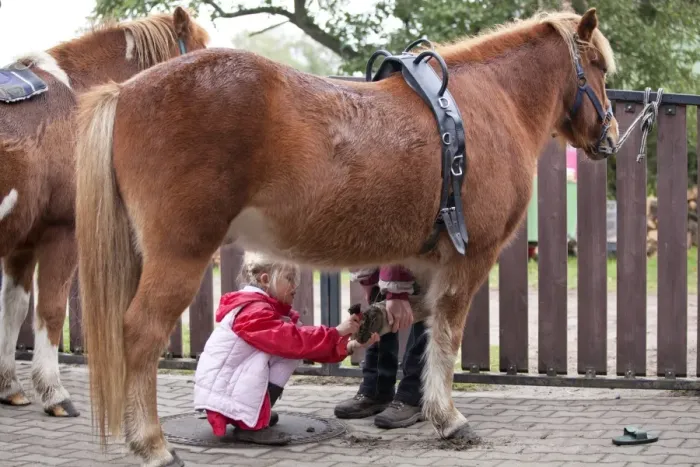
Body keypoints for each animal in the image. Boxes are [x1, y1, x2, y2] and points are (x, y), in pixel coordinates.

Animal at [0, 7, 209, 420]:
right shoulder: (62, 232)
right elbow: (50, 310)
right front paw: (54, 393)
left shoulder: (24, 241)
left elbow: (14, 309)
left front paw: (10, 386)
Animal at [74, 8, 617, 466]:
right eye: (598, 68)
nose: (608, 137)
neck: (481, 106)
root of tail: (125, 94)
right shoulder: (469, 257)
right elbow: (447, 332)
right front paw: (448, 418)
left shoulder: (421, 258)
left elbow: (414, 317)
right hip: (179, 255)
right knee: (141, 333)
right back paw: (152, 445)